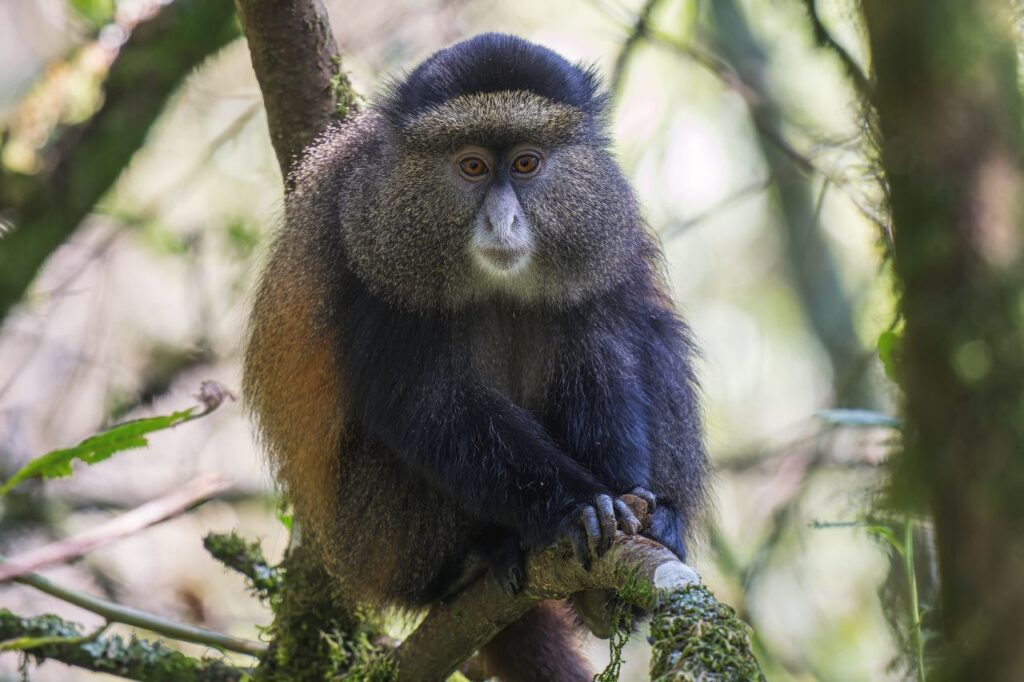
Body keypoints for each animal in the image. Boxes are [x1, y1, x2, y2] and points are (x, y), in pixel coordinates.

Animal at [244, 33, 710, 681]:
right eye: (471, 166)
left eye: (526, 164)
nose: (503, 219)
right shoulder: (372, 254)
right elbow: (422, 402)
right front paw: (577, 507)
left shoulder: (595, 254)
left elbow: (602, 356)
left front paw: (626, 516)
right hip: (378, 538)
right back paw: (477, 558)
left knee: (655, 338)